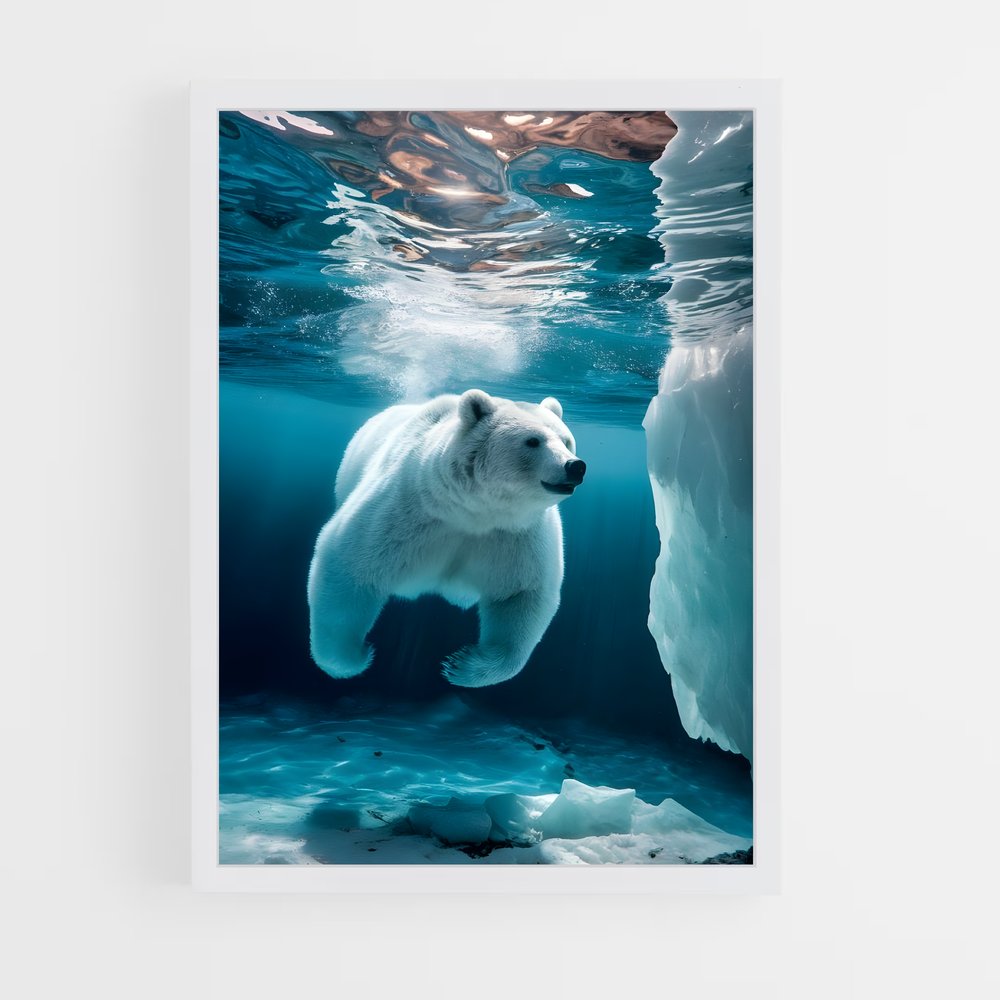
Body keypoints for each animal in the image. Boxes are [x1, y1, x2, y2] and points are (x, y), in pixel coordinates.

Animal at [307, 388, 586, 688]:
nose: (575, 466)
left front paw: (462, 666)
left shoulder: (516, 535)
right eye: (533, 441)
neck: (471, 510)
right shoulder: (405, 511)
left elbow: (522, 594)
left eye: (566, 440)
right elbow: (350, 568)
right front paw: (353, 658)